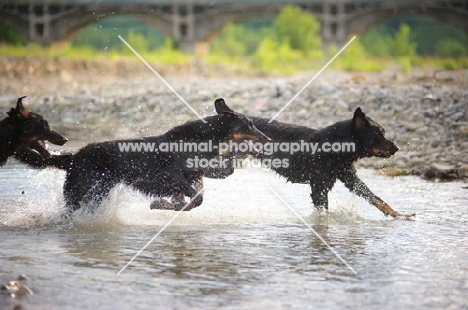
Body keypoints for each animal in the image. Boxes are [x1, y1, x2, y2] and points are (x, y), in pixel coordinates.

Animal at [16, 98, 268, 213]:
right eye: (250, 124)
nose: (267, 138)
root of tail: (72, 157)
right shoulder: (172, 175)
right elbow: (196, 199)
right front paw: (160, 204)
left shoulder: (190, 180)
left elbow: (190, 201)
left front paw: (164, 205)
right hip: (80, 193)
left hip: (99, 192)